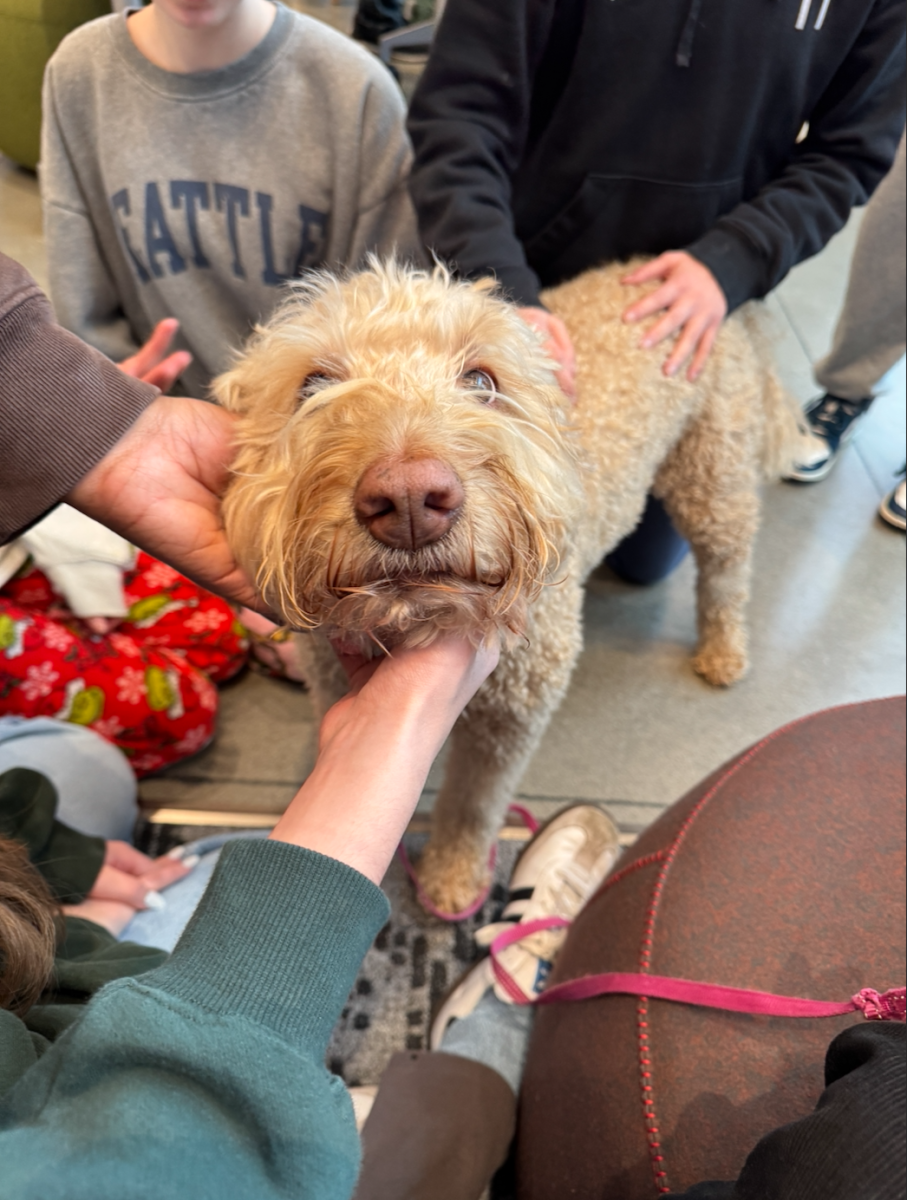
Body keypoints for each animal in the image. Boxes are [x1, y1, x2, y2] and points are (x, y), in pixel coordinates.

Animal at [215, 260, 796, 907]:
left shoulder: (515, 715)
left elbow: (476, 800)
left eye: (481, 380)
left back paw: (723, 649)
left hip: (712, 473)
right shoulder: (330, 679)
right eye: (312, 386)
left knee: (726, 568)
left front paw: (453, 873)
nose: (410, 498)